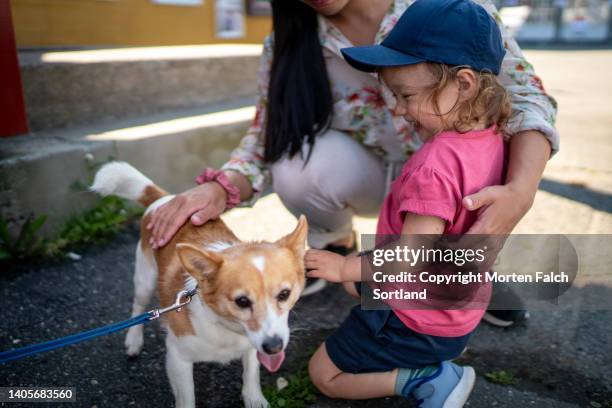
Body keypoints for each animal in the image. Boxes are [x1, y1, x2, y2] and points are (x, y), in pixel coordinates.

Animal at [91, 163, 308, 408]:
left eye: (284, 294)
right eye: (242, 301)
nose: (274, 347)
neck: (225, 327)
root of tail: (165, 198)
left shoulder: (253, 345)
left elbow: (251, 371)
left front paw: (254, 398)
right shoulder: (178, 359)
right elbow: (186, 398)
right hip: (145, 279)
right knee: (138, 307)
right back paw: (133, 340)